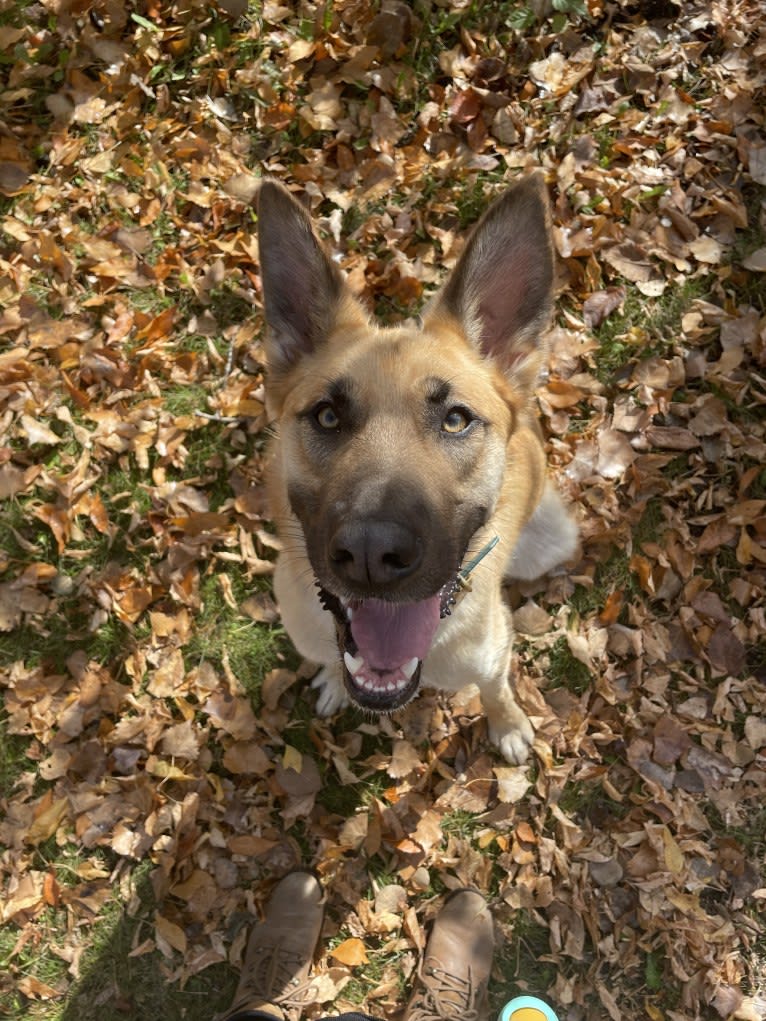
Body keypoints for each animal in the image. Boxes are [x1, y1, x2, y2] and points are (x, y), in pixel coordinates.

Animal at [256, 175, 576, 763]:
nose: (370, 556)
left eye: (455, 420)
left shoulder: (491, 659)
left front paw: (508, 725)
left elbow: (496, 691)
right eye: (328, 415)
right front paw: (333, 679)